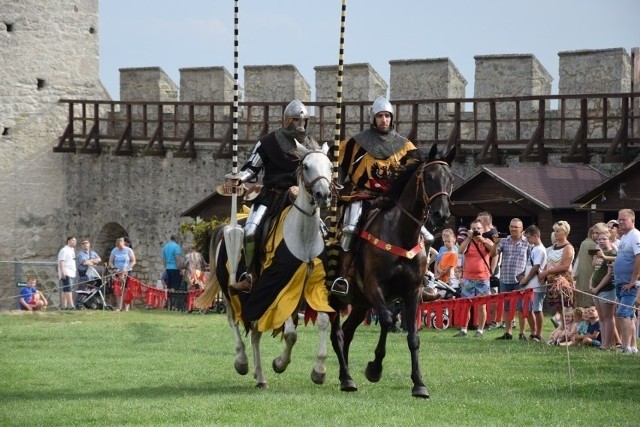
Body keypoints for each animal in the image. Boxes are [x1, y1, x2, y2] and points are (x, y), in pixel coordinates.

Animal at [198, 142, 332, 390]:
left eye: (330, 166)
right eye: (306, 166)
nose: (323, 195)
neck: (304, 237)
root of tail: (225, 227)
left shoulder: (313, 287)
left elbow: (323, 321)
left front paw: (319, 371)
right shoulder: (280, 289)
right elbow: (290, 334)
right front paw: (280, 363)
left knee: (255, 333)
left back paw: (259, 376)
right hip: (231, 291)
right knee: (234, 321)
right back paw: (242, 362)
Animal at [330, 144, 456, 398]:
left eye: (450, 180)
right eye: (429, 177)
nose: (441, 215)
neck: (400, 233)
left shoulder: (410, 292)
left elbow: (411, 336)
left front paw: (419, 384)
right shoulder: (374, 286)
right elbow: (388, 321)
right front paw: (375, 368)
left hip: (360, 302)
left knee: (347, 332)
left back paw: (344, 376)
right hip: (334, 297)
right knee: (337, 334)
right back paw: (346, 378)